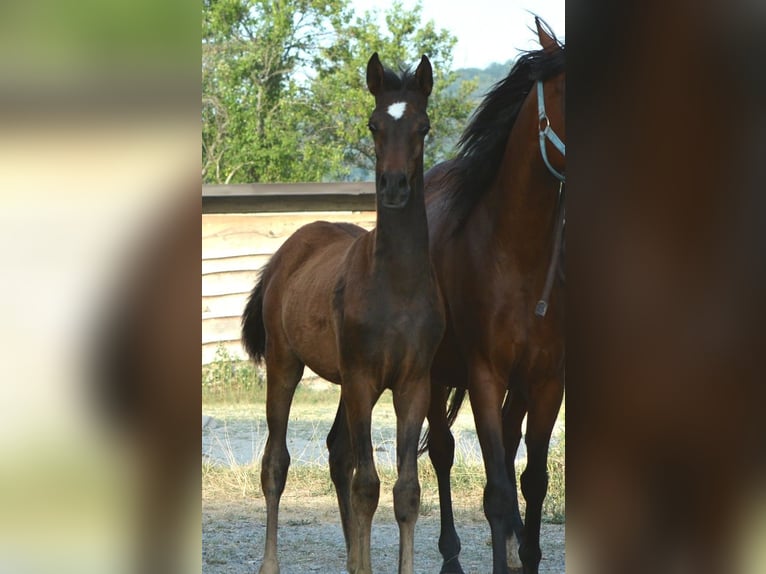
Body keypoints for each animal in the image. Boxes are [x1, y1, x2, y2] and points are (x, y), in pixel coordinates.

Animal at [241, 53, 445, 574]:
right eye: (374, 124)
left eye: (423, 125)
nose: (394, 185)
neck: (396, 286)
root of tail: (286, 253)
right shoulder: (362, 379)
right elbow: (367, 485)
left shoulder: (414, 384)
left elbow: (406, 490)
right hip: (287, 366)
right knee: (276, 462)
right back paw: (270, 563)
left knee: (337, 453)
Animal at [420, 18, 565, 574]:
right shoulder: (484, 374)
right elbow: (498, 492)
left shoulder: (547, 380)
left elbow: (532, 480)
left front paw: (527, 555)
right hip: (432, 374)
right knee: (440, 451)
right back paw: (450, 557)